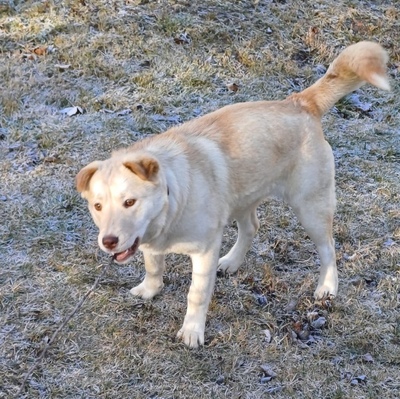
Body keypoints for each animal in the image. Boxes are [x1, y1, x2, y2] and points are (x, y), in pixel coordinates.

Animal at [76, 40, 390, 346]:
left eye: (129, 202)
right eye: (97, 206)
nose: (108, 242)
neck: (173, 196)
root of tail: (301, 102)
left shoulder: (204, 250)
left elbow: (196, 294)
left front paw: (192, 332)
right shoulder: (150, 243)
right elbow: (154, 267)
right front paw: (149, 290)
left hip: (310, 207)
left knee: (328, 248)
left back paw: (327, 287)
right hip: (242, 196)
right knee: (251, 226)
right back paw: (231, 262)